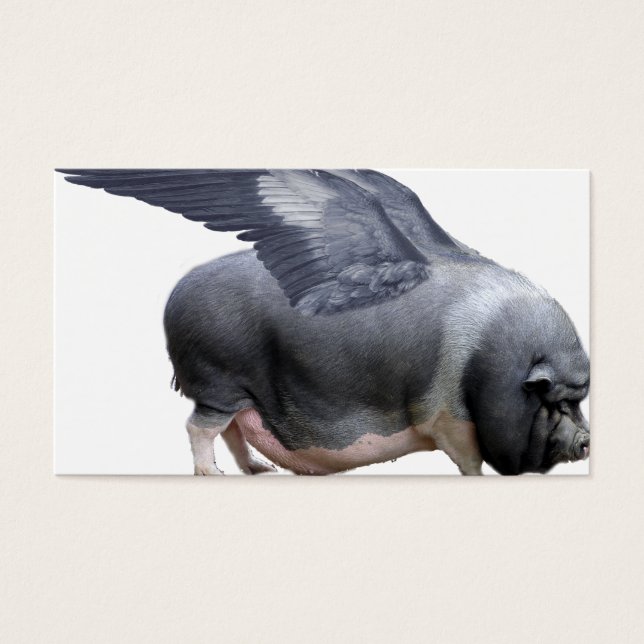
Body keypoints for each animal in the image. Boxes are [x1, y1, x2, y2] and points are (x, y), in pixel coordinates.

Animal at [58, 169, 590, 475]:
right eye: (550, 400)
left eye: (578, 400)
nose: (586, 441)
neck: (485, 361)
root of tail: (173, 296)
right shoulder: (447, 416)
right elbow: (469, 460)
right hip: (217, 379)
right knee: (200, 428)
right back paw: (214, 476)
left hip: (237, 391)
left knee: (232, 429)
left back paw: (259, 472)